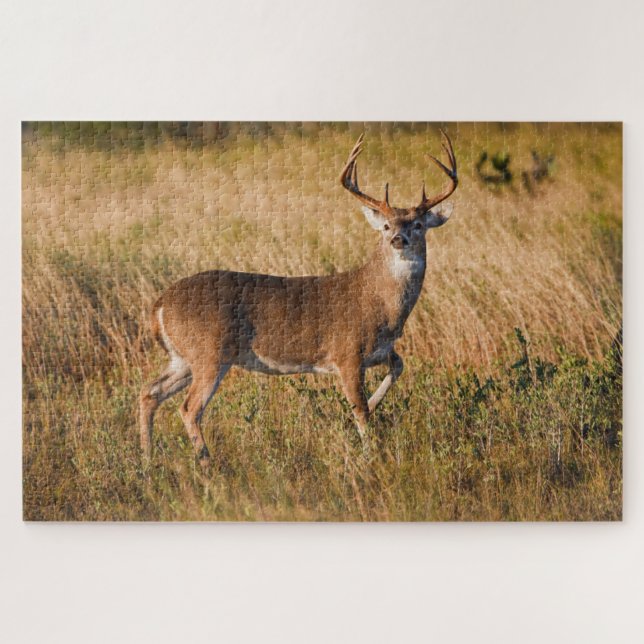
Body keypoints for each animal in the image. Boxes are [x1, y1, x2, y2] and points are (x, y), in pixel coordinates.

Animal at [139, 129, 458, 468]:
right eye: (385, 225)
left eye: (418, 224)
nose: (399, 239)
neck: (380, 302)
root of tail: (160, 305)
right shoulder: (347, 353)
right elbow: (360, 411)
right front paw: (371, 457)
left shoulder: (381, 351)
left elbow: (397, 368)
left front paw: (370, 408)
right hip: (209, 352)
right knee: (188, 408)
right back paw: (207, 465)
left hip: (183, 357)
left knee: (149, 393)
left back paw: (147, 461)